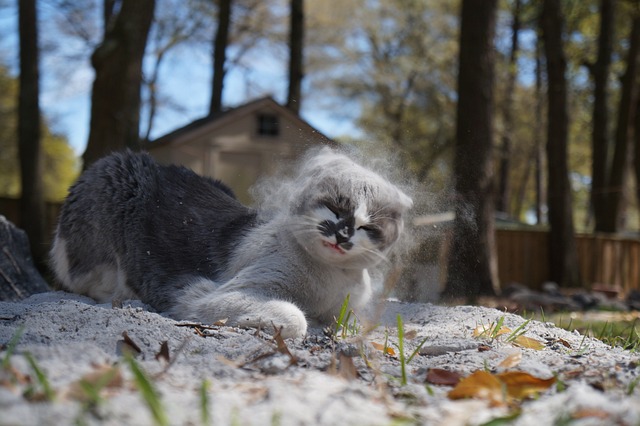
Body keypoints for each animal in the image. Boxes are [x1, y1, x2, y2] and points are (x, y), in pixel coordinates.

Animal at [48, 148, 410, 338]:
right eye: (335, 208)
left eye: (367, 227)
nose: (342, 234)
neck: (330, 279)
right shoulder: (223, 293)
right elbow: (295, 318)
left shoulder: (348, 306)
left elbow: (352, 323)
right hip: (114, 179)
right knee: (84, 278)